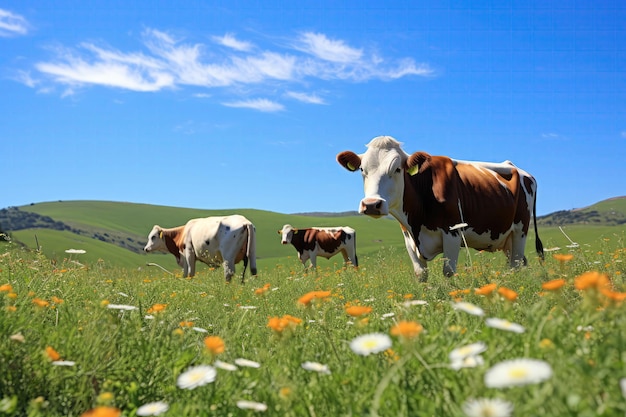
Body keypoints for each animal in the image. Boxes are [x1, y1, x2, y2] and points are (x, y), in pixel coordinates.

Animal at [336, 135, 540, 282]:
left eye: (397, 169)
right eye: (362, 170)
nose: (371, 204)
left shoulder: (452, 233)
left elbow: (449, 271)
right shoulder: (408, 237)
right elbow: (421, 274)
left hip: (520, 230)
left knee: (515, 264)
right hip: (507, 238)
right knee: (520, 263)